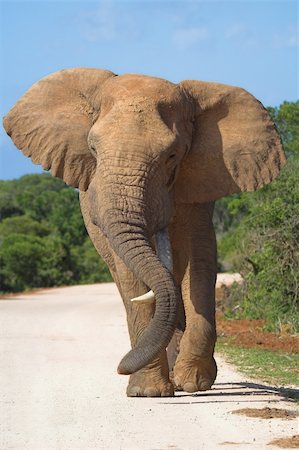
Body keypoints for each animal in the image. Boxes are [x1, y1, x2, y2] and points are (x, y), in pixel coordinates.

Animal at [3, 68, 288, 396]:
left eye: (172, 156)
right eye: (93, 149)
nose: (120, 367)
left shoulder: (198, 180)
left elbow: (199, 256)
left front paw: (194, 382)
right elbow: (132, 273)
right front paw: (148, 392)